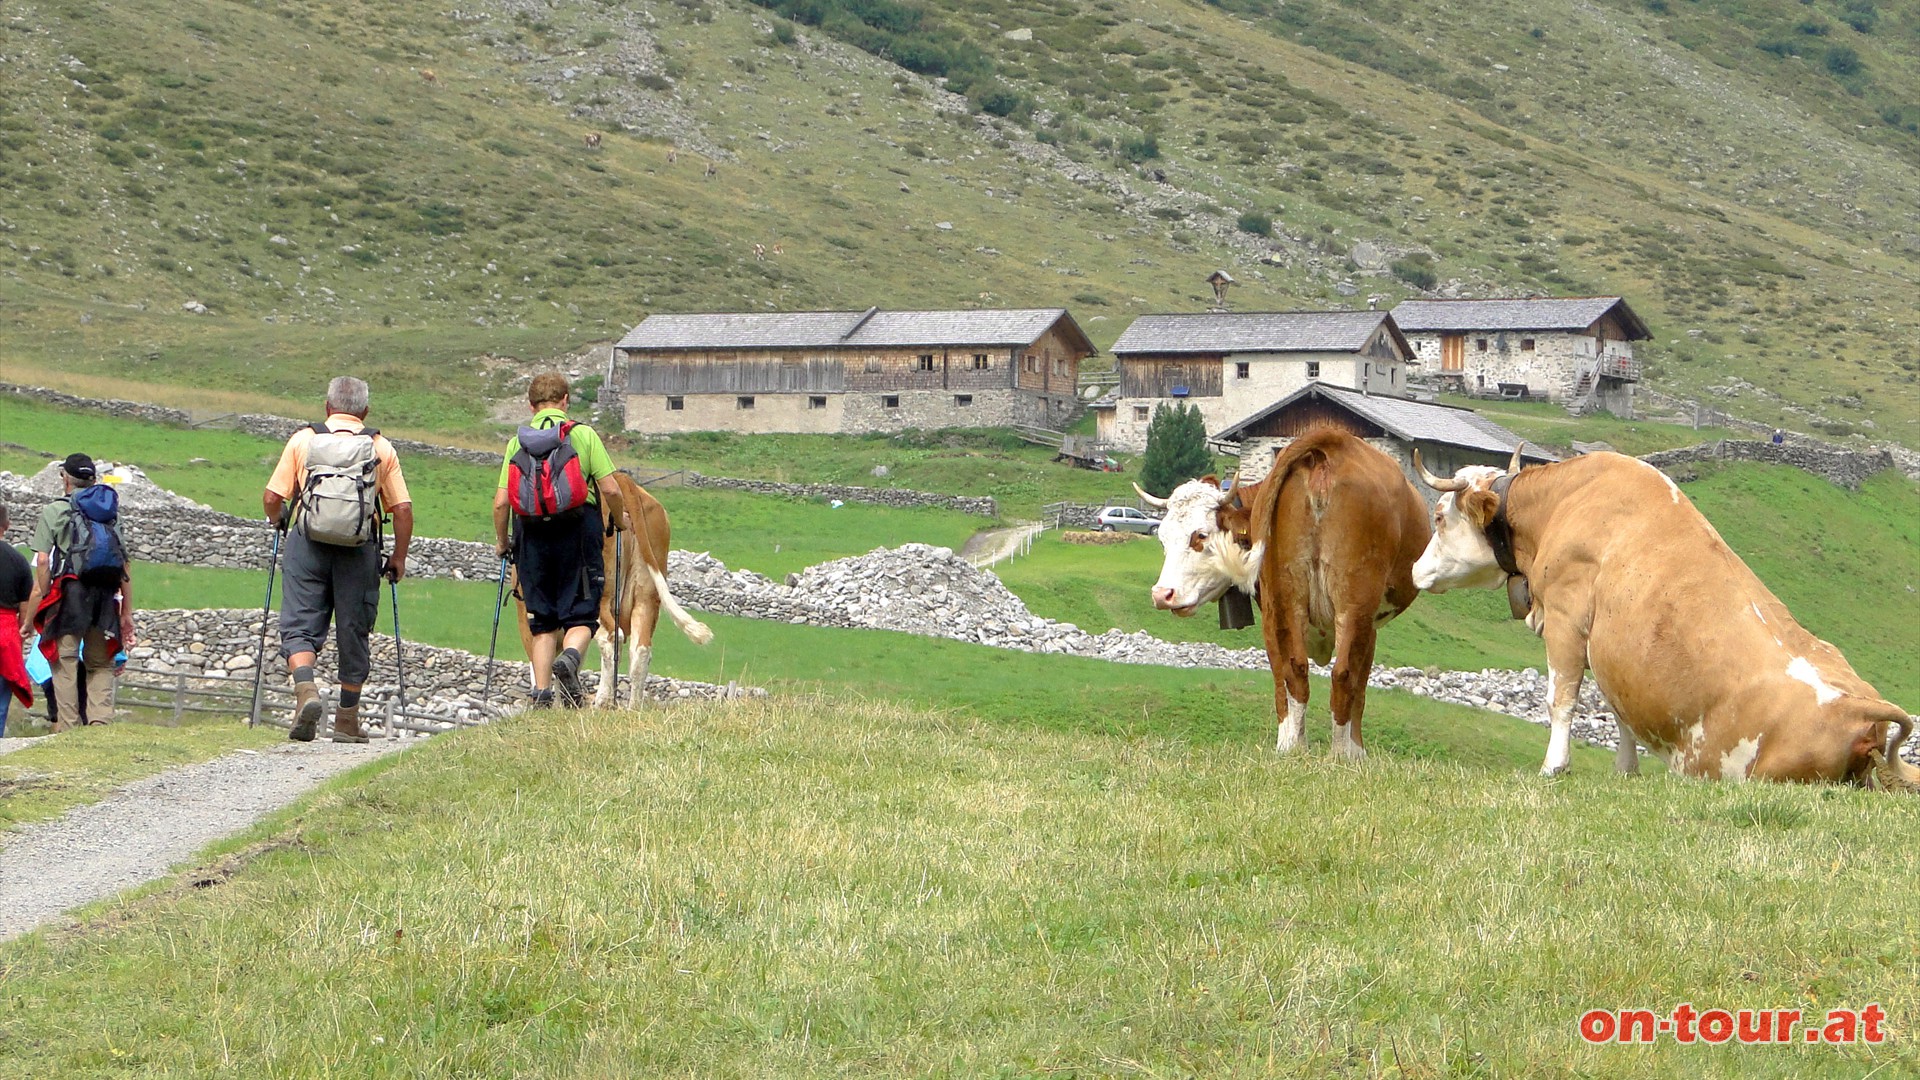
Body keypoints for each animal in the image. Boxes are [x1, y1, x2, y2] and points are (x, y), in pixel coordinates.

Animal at [518, 470, 714, 707]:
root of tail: (623, 479)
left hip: (598, 596)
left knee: (611, 638)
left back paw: (602, 701)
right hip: (646, 596)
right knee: (640, 649)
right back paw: (632, 707)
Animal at [1136, 424, 1428, 753]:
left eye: (1200, 535)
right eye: (1163, 538)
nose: (1162, 594)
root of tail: (1327, 446)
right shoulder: (1367, 623)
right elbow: (1358, 683)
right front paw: (1356, 752)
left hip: (1287, 598)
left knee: (1294, 669)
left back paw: (1293, 748)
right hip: (1353, 603)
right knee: (1341, 673)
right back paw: (1339, 754)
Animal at [1413, 441, 1920, 787]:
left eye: (1438, 516)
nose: (1416, 570)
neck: (1563, 503)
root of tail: (1861, 708)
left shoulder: (1566, 619)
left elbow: (1563, 700)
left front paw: (1554, 767)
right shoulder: (1610, 646)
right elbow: (1619, 708)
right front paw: (1625, 771)